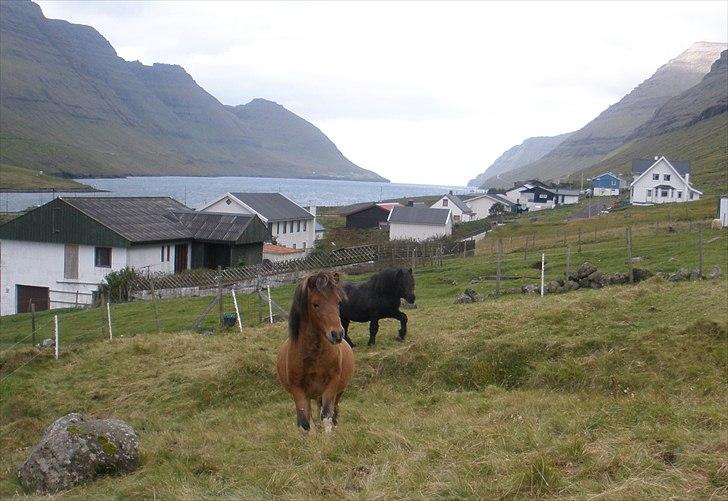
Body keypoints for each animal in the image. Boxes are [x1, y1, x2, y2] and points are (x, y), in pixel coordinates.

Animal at [278, 272, 354, 432]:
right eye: (315, 304)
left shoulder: (331, 385)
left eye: (338, 302)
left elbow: (327, 417)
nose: (337, 334)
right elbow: (305, 424)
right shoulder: (298, 391)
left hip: (336, 393)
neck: (313, 356)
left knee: (332, 413)